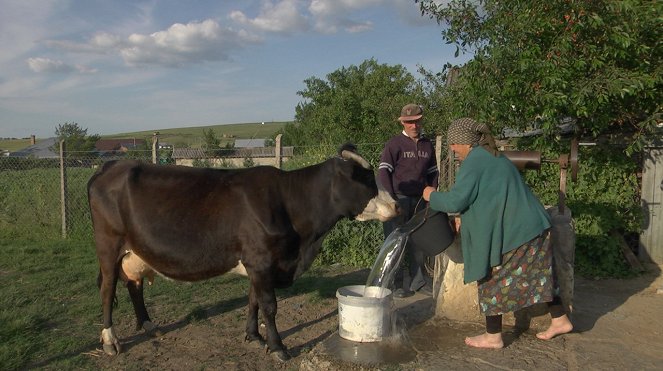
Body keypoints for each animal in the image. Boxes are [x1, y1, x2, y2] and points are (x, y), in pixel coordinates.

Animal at [88, 144, 400, 362]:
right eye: (365, 180)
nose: (396, 204)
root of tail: (110, 166)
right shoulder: (261, 261)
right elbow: (270, 306)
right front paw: (278, 347)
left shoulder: (258, 263)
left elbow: (253, 301)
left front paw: (253, 336)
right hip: (108, 246)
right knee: (106, 289)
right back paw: (110, 341)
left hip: (135, 251)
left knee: (134, 284)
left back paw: (148, 325)